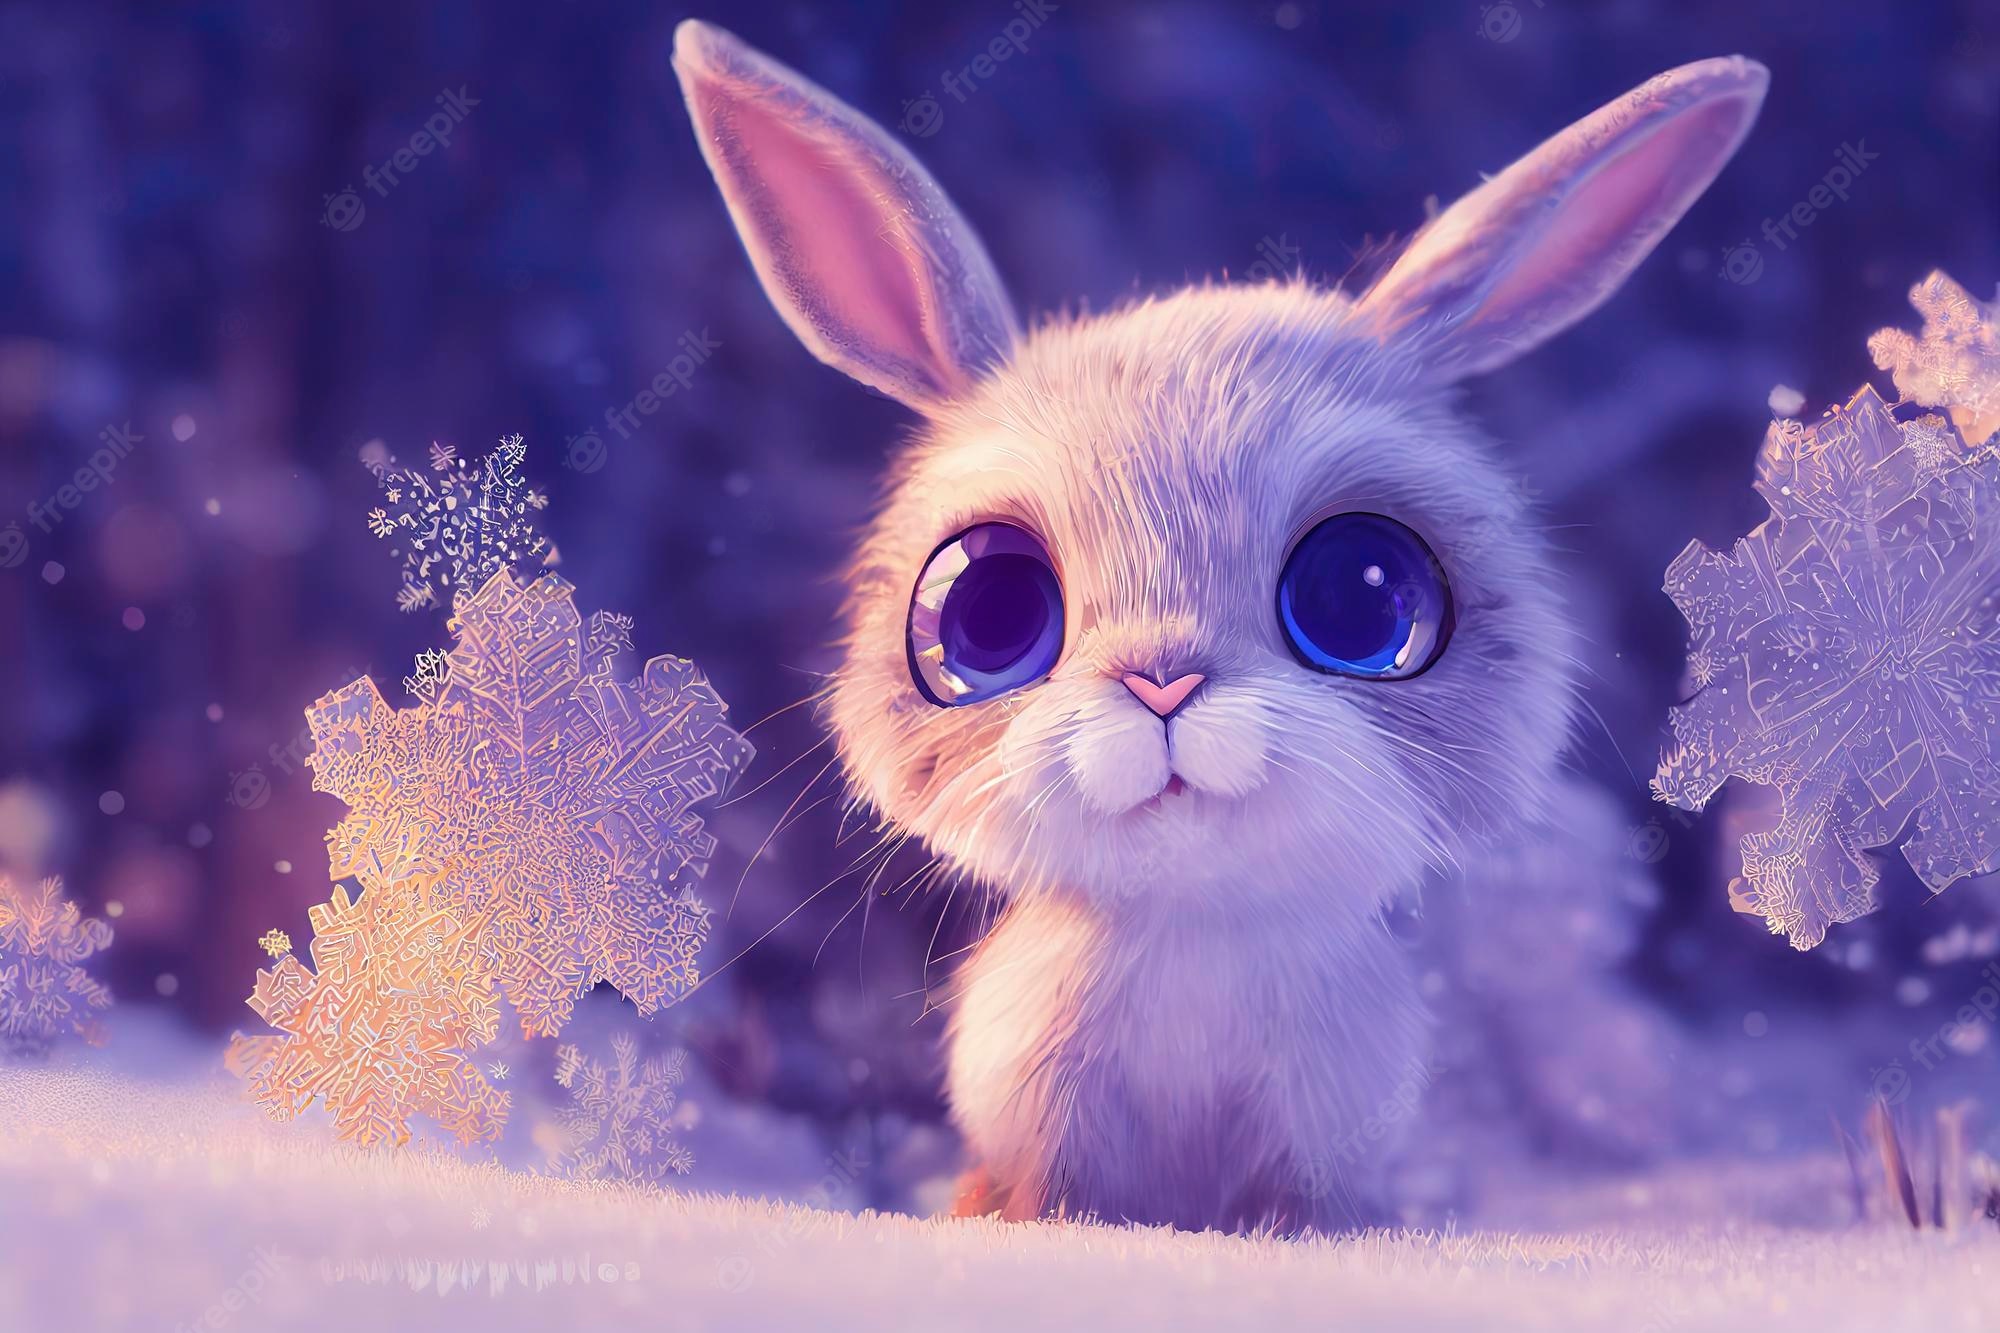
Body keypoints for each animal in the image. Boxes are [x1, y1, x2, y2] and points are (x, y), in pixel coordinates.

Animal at [674, 18, 1766, 1232]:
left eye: (1361, 599)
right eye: (985, 618)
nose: (1162, 682)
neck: (1193, 926)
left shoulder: (1324, 1122)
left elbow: (1299, 1215)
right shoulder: (1039, 1102)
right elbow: (1049, 1201)